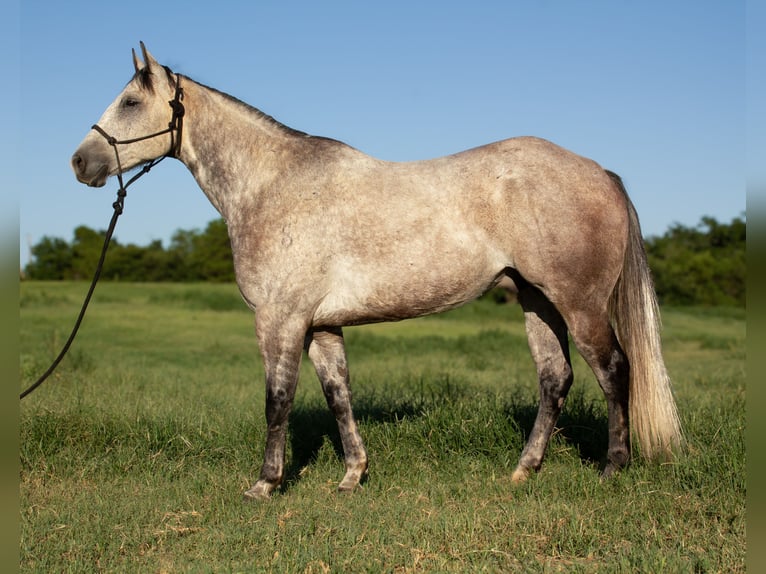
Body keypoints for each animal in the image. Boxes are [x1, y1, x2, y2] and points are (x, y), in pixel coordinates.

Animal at [71, 43, 683, 500]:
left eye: (130, 101)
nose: (80, 162)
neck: (273, 185)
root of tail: (600, 171)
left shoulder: (279, 321)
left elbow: (277, 400)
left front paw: (266, 484)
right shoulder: (320, 325)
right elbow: (337, 395)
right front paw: (351, 476)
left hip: (579, 303)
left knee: (615, 370)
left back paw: (613, 468)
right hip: (538, 301)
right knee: (555, 379)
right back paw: (523, 470)